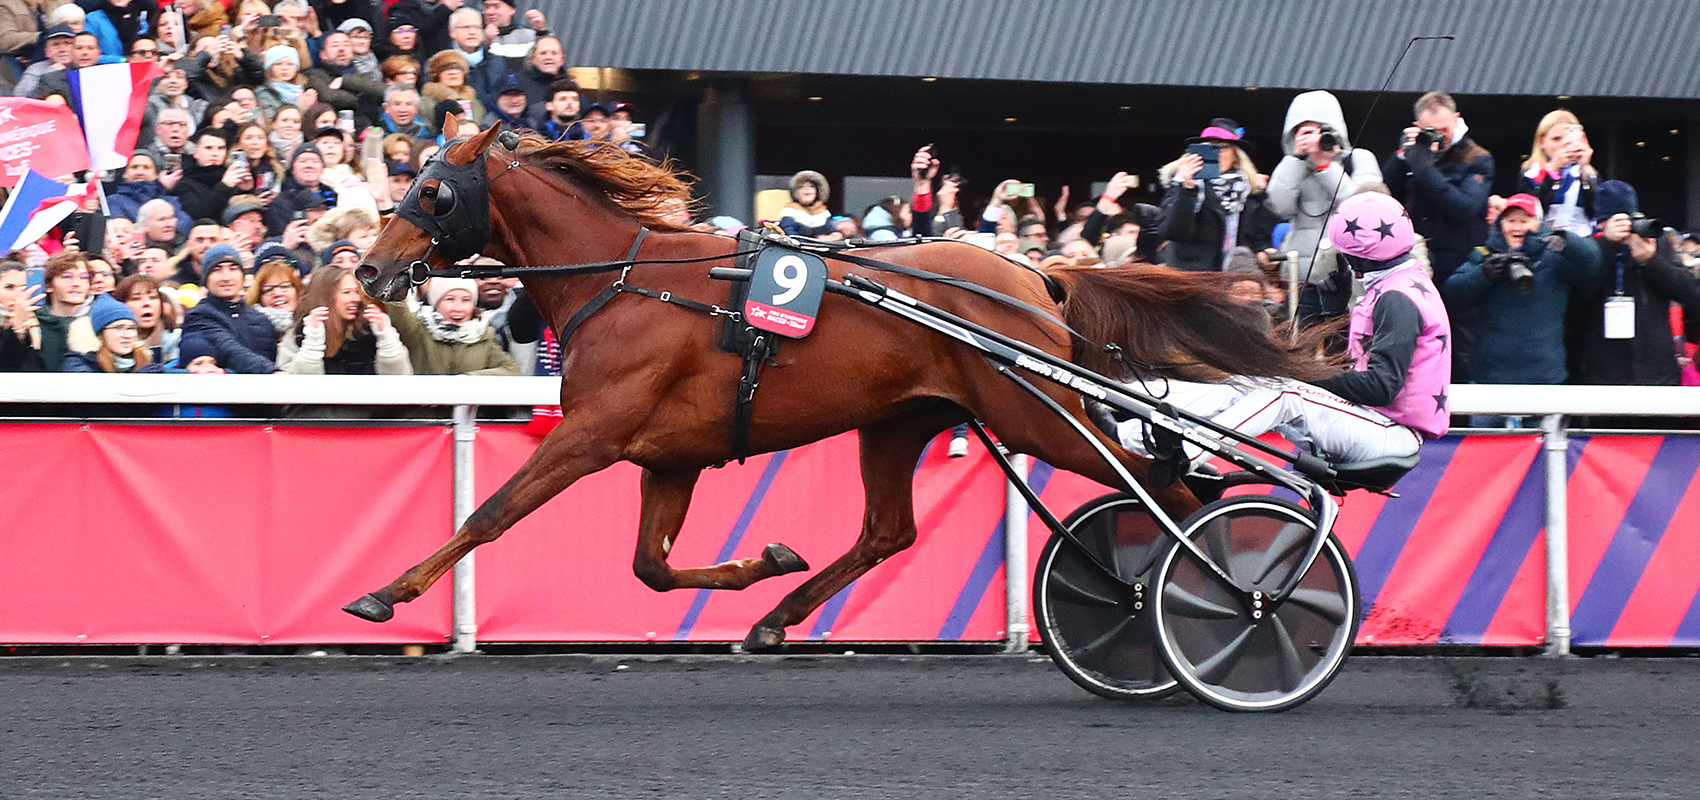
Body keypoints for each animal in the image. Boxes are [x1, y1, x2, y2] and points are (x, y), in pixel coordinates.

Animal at [351, 120, 1332, 652]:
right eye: (411, 183)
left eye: (434, 193)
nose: (367, 270)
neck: (625, 278)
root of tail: (1035, 275)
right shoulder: (670, 456)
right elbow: (652, 568)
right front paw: (766, 562)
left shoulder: (593, 432)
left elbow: (492, 513)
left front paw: (385, 593)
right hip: (900, 421)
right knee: (888, 531)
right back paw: (780, 613)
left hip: (1037, 415)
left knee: (1178, 491)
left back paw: (1231, 595)